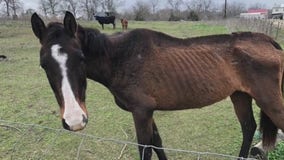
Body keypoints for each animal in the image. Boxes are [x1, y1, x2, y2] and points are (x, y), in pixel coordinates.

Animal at [31, 11, 284, 159]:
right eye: (43, 64)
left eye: (81, 58)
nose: (74, 120)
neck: (120, 58)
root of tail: (267, 40)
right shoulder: (147, 112)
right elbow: (157, 143)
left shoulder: (141, 112)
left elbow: (145, 148)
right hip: (240, 95)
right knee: (248, 127)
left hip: (269, 100)